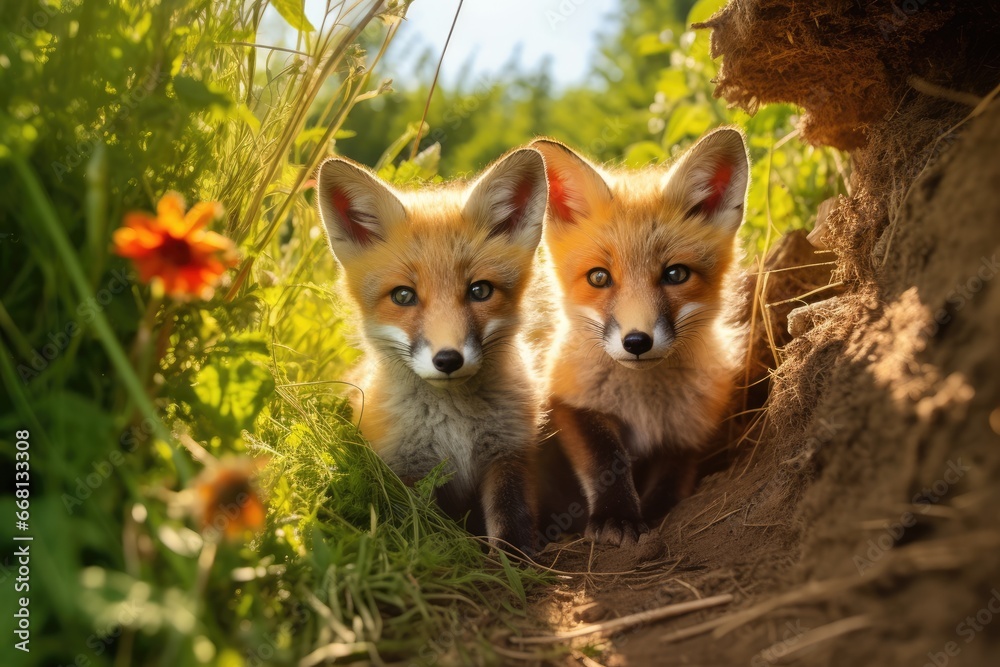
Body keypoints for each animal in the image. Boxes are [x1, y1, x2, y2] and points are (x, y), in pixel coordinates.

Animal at [315, 148, 549, 554]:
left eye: (480, 291)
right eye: (403, 296)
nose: (448, 359)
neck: (454, 427)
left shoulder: (510, 455)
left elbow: (509, 526)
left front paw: (513, 562)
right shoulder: (408, 473)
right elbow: (424, 533)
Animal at [531, 128, 749, 546]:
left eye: (676, 274)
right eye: (599, 277)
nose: (636, 342)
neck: (644, 402)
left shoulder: (688, 433)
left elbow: (670, 484)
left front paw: (648, 515)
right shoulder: (574, 403)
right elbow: (606, 462)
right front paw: (616, 516)